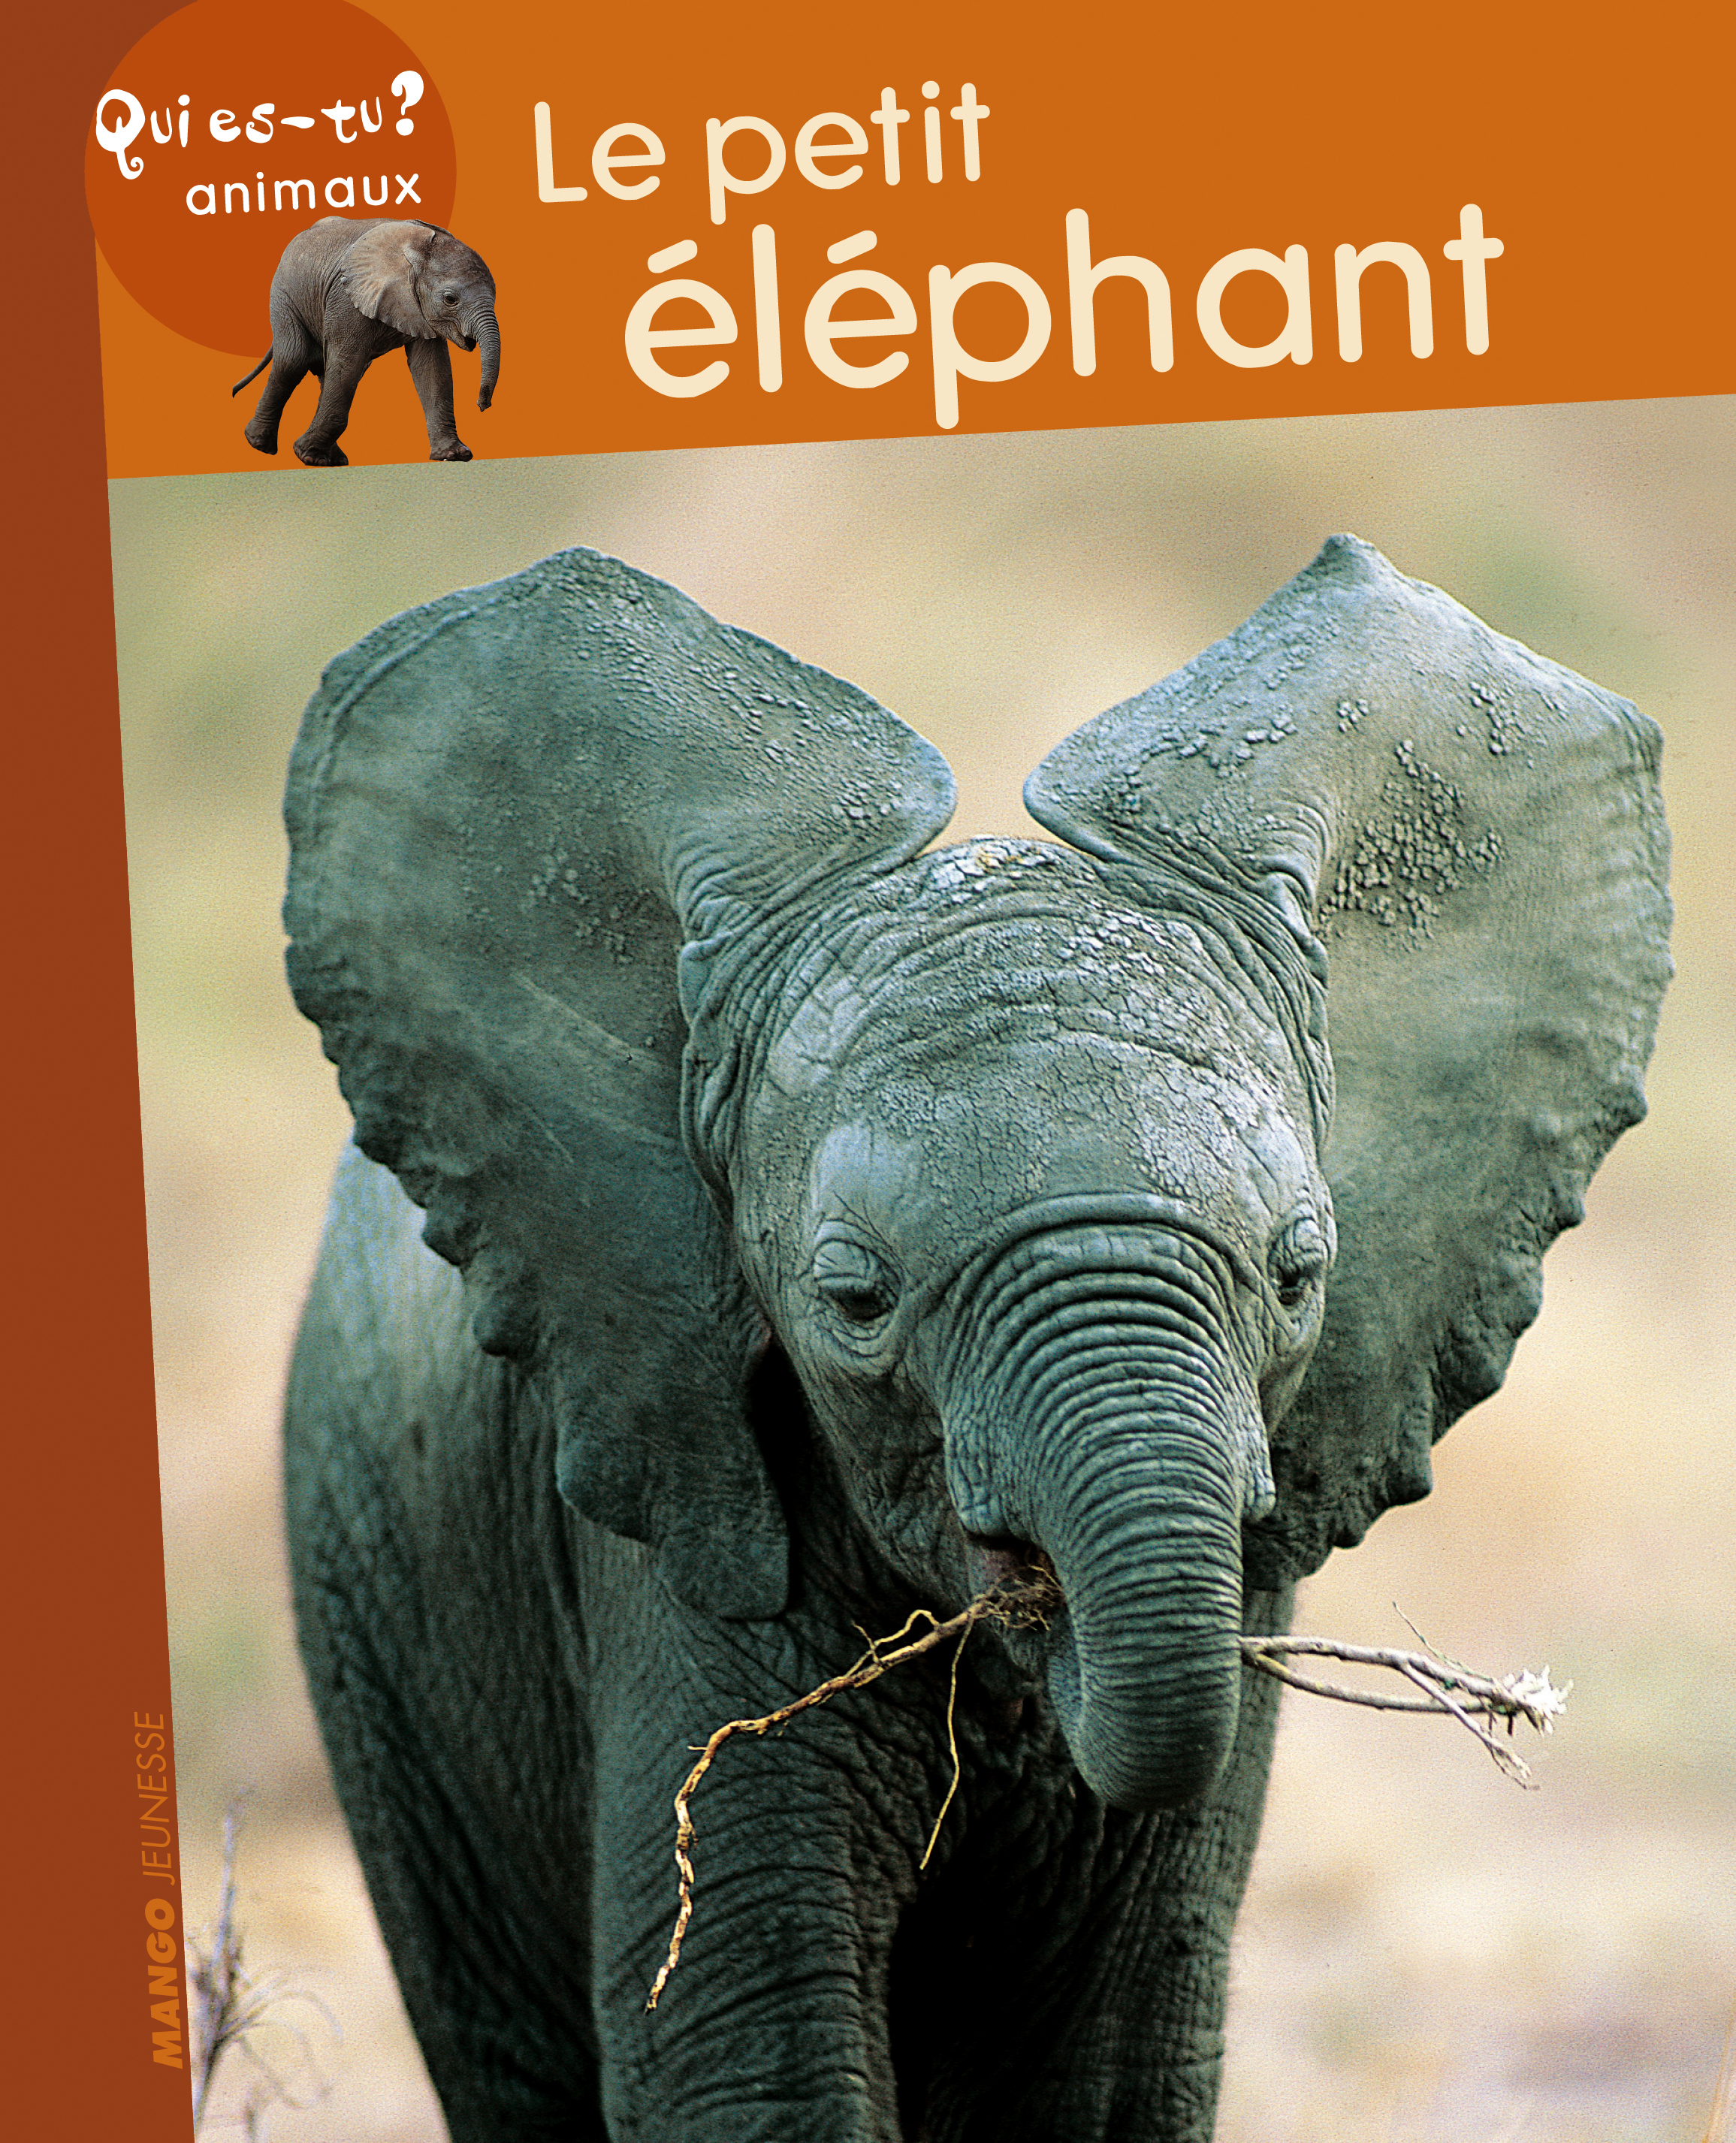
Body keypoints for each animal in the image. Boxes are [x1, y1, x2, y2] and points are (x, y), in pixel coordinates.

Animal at [232, 216, 499, 466]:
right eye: (450, 299)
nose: (481, 405)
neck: (411, 250)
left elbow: (432, 369)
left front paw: (454, 456)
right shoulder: (347, 298)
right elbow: (348, 363)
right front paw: (305, 454)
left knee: (326, 370)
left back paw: (331, 460)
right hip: (284, 295)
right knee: (293, 361)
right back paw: (260, 445)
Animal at [281, 534, 1670, 2142]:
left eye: (1300, 1270)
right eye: (853, 1298)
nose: (1039, 1621)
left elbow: (1109, 2066)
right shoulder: (683, 1506)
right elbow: (753, 2054)